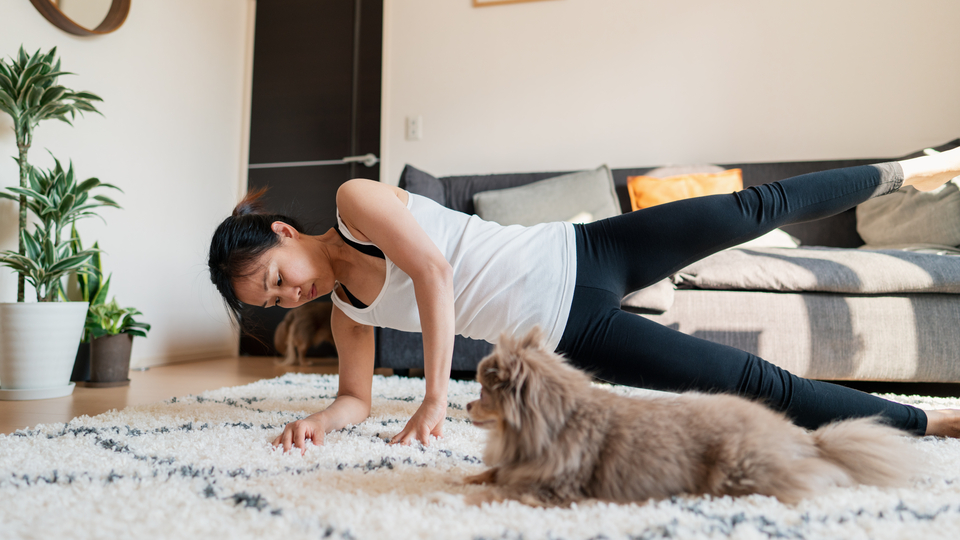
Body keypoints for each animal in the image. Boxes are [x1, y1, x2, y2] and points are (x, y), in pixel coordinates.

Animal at [464, 326, 924, 508]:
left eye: (484, 392)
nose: (467, 405)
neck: (557, 420)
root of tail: (804, 438)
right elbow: (494, 473)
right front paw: (472, 477)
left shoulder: (555, 489)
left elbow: (508, 487)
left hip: (736, 471)